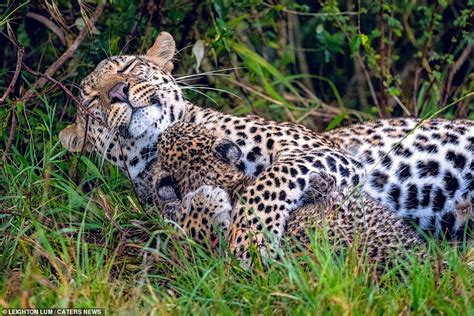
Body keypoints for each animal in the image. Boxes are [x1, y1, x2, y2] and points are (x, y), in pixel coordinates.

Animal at [60, 31, 474, 262]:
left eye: (128, 67)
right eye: (91, 100)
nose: (118, 92)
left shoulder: (329, 152)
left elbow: (268, 179)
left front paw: (252, 240)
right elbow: (191, 228)